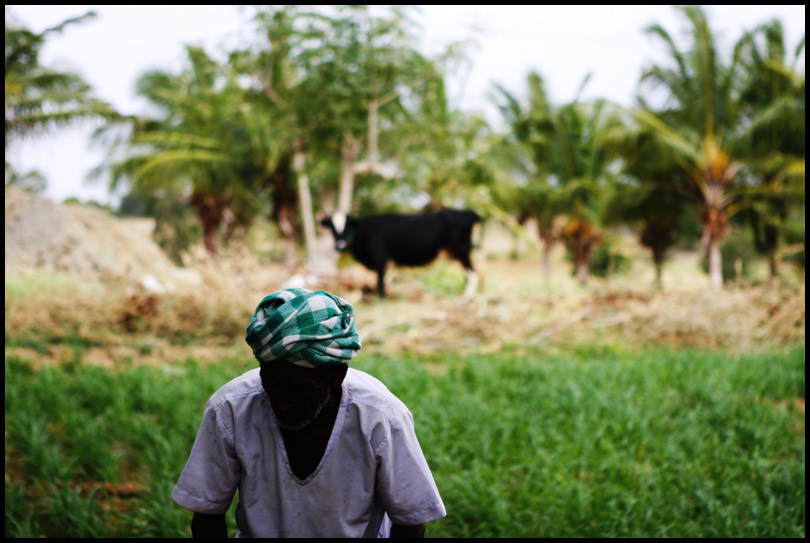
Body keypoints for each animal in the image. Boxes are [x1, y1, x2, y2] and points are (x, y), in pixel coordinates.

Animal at [318, 211, 480, 298]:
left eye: (347, 226)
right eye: (332, 227)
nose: (340, 245)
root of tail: (468, 213)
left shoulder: (380, 259)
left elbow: (380, 282)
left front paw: (381, 299)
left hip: (461, 251)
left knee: (472, 274)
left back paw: (468, 297)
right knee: (467, 274)